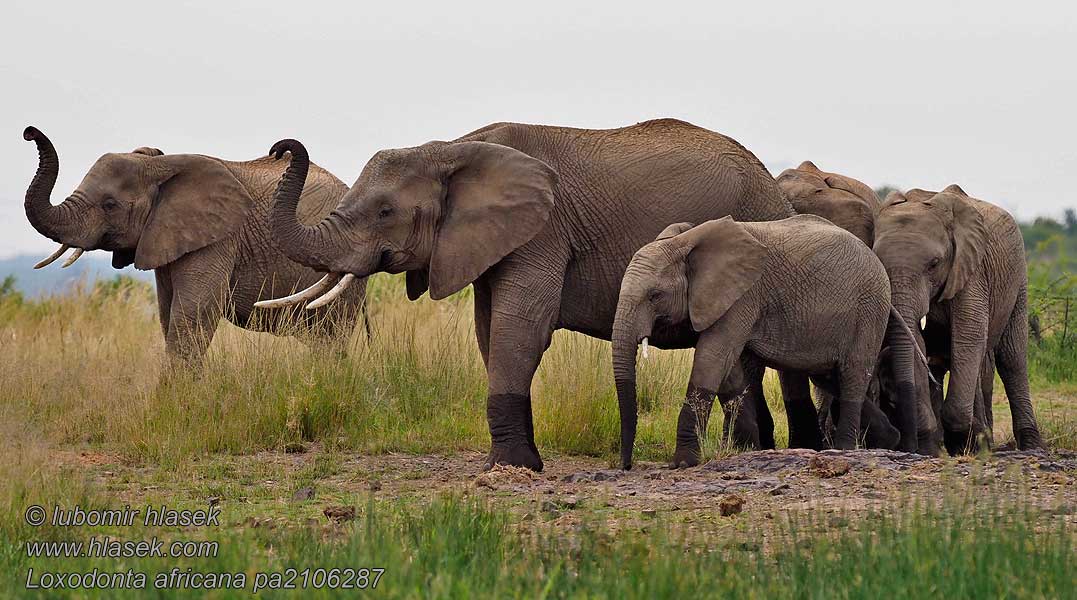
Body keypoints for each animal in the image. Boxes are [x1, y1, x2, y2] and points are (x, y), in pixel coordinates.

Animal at [19, 127, 366, 364]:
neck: (162, 165)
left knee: (331, 337)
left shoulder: (219, 237)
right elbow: (168, 313)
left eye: (110, 205)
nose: (28, 132)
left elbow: (192, 313)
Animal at [252, 117, 792, 471]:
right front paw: (515, 462)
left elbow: (523, 327)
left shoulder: (543, 231)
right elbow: (489, 330)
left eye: (385, 212)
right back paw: (753, 451)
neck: (451, 149)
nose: (280, 147)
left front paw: (512, 467)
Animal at [611, 215, 913, 467]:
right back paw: (889, 440)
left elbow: (712, 359)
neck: (685, 242)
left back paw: (843, 451)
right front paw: (748, 449)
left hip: (868, 312)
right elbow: (728, 371)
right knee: (829, 376)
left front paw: (684, 463)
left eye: (655, 295)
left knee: (853, 375)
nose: (626, 465)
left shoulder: (743, 296)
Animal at [874, 185, 1042, 452]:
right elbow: (916, 341)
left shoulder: (972, 271)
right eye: (878, 259)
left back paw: (1029, 446)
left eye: (934, 264)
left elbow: (969, 335)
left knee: (1011, 359)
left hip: (1018, 280)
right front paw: (936, 447)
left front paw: (965, 441)